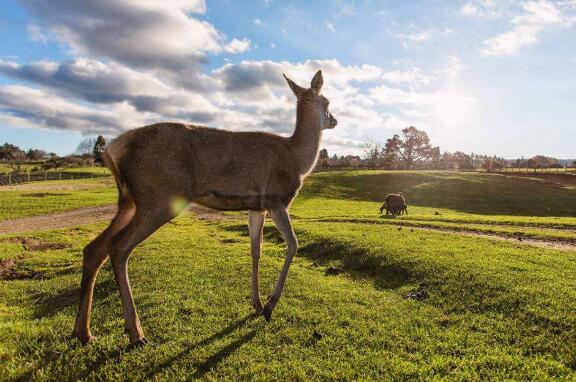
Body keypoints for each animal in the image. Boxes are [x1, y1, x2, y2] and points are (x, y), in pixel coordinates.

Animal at [72, 69, 338, 346]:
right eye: (327, 102)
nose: (335, 120)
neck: (297, 160)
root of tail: (112, 150)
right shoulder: (277, 199)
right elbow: (293, 244)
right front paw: (269, 306)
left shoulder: (257, 206)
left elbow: (256, 250)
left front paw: (256, 303)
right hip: (159, 196)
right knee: (118, 246)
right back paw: (136, 332)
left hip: (128, 201)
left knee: (94, 248)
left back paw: (83, 332)